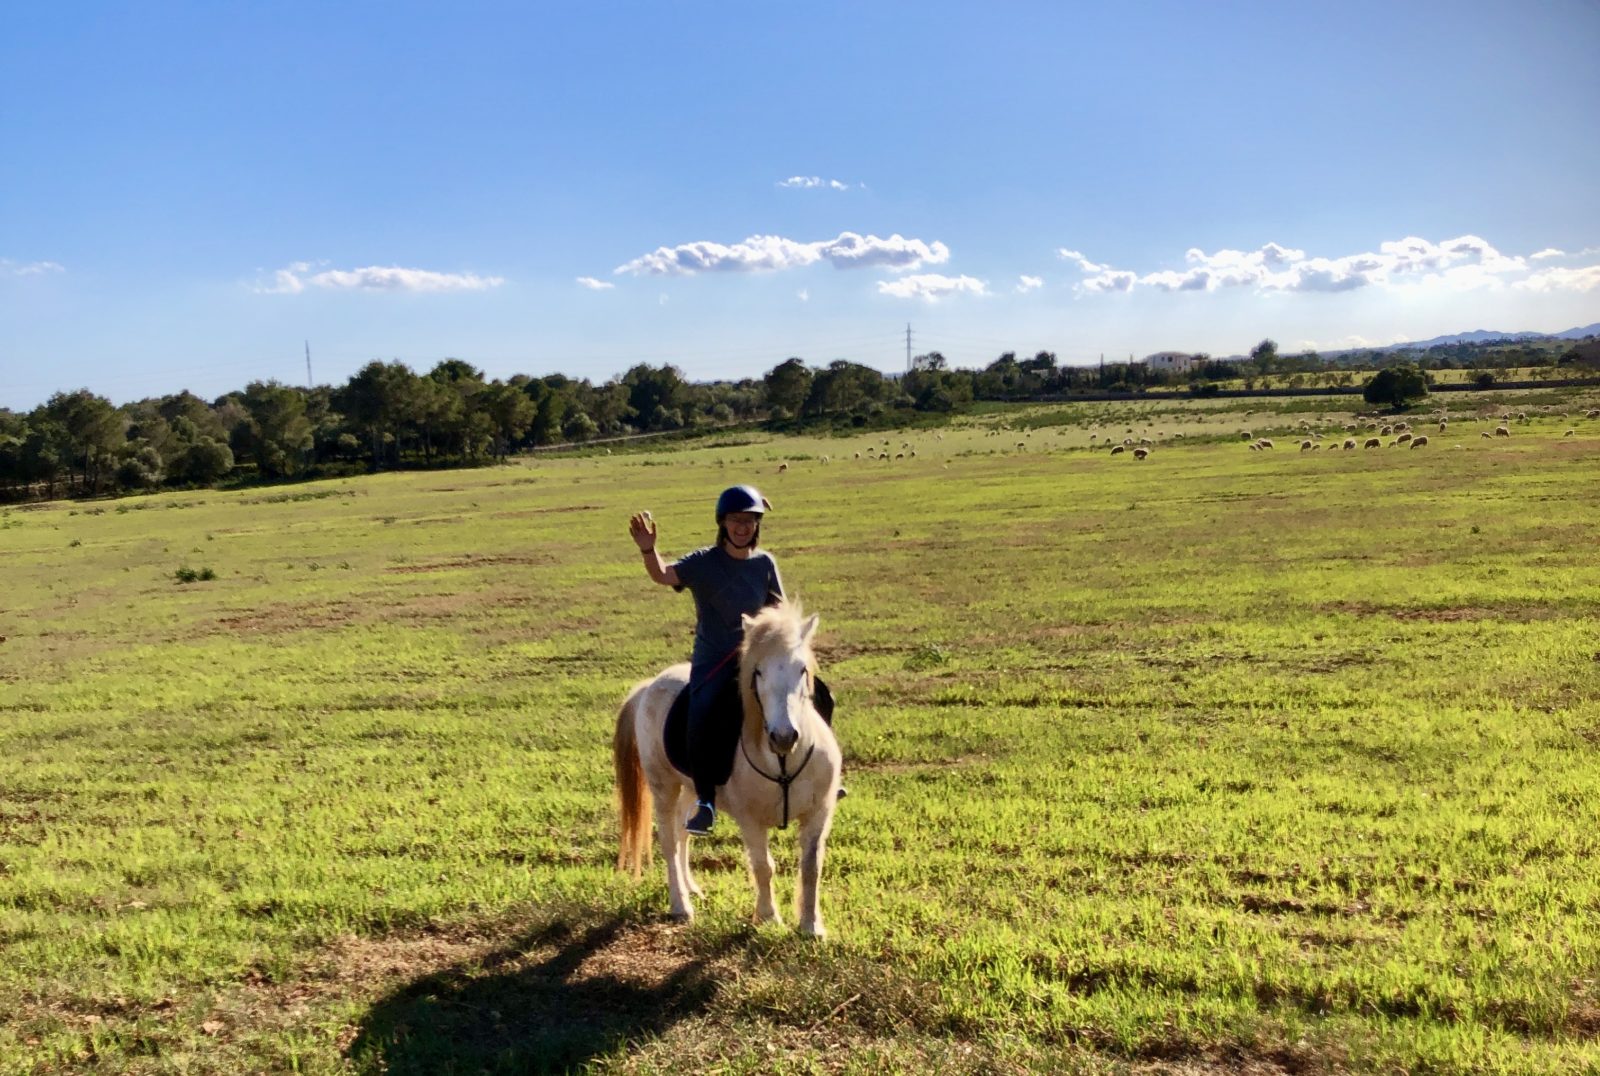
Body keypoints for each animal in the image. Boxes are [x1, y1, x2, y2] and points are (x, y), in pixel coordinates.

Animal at [608, 605, 844, 935]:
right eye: (758, 671)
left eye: (801, 669)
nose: (784, 736)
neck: (783, 762)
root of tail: (649, 686)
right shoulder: (751, 820)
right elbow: (763, 866)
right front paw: (768, 917)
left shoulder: (818, 813)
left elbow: (811, 867)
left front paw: (811, 927)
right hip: (663, 786)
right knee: (668, 841)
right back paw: (681, 905)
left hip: (691, 788)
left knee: (682, 833)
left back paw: (691, 888)